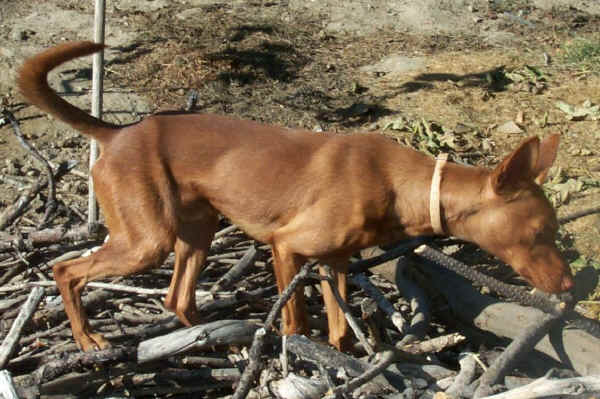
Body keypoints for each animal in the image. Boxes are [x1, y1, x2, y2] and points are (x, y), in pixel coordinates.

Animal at [17, 42, 572, 352]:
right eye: (539, 233)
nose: (569, 286)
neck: (400, 182)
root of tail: (117, 132)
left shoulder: (336, 263)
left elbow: (340, 329)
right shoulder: (286, 247)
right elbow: (297, 324)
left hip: (195, 232)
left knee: (177, 298)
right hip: (145, 240)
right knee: (66, 270)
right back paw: (88, 339)